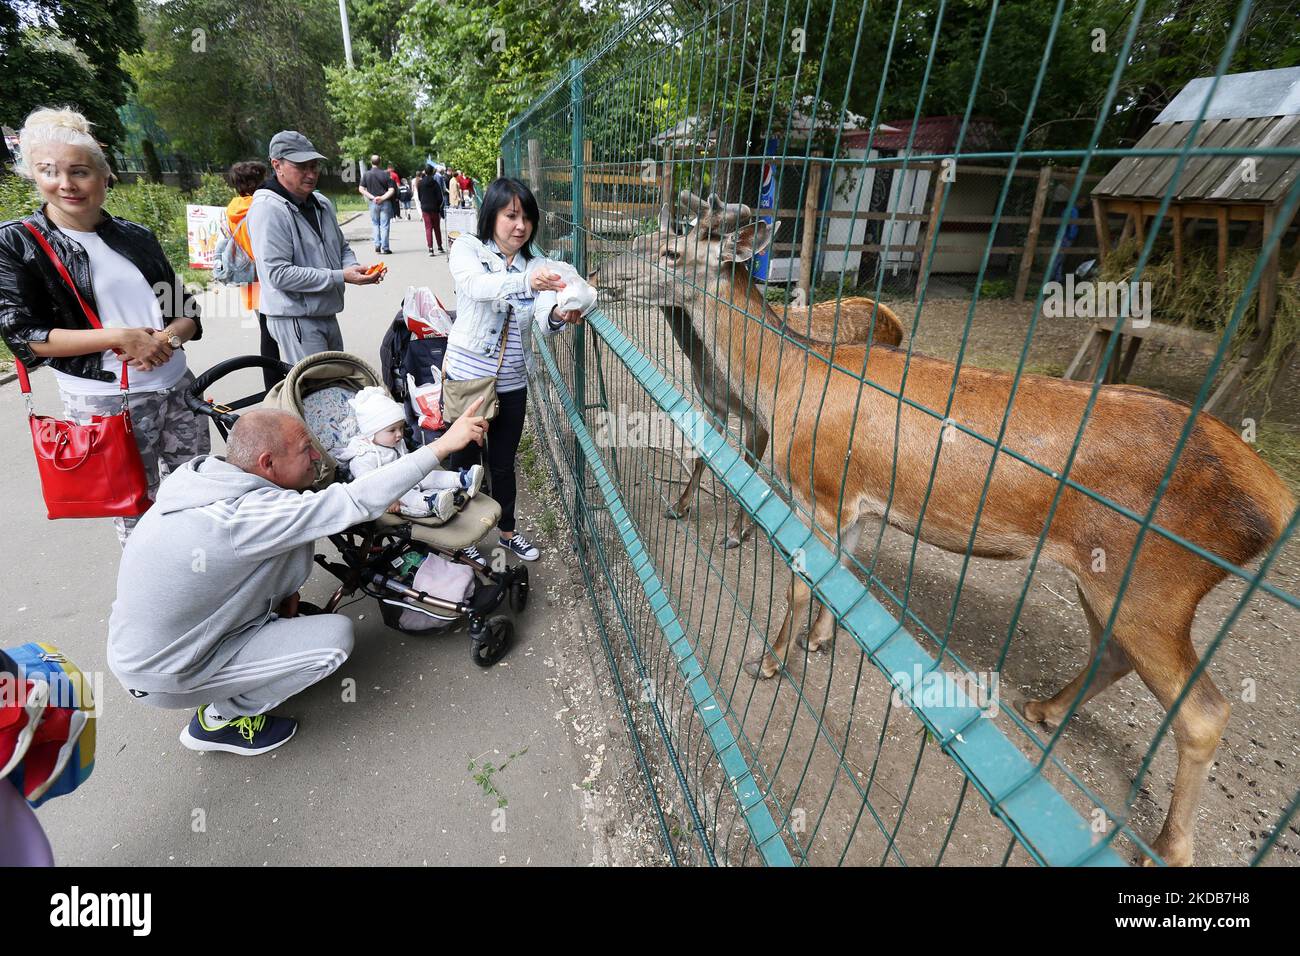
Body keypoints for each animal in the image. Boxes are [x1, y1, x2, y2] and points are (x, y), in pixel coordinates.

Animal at [634, 191, 899, 548]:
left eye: (669, 252)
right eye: (637, 241)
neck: (706, 361)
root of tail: (893, 318)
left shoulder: (757, 416)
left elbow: (748, 469)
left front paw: (736, 532)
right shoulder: (713, 404)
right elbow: (704, 453)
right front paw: (679, 507)